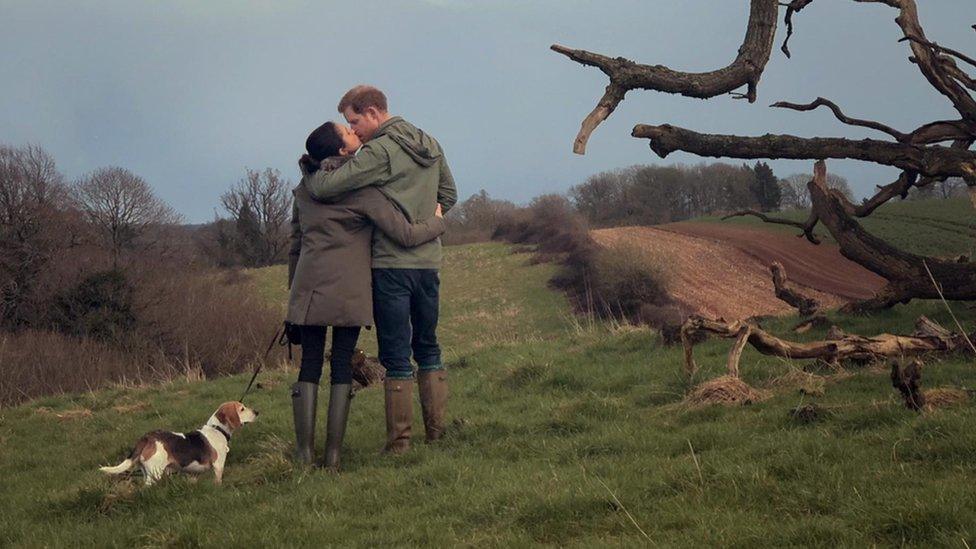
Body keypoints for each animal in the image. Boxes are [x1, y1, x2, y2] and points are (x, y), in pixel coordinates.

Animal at [99, 400, 258, 486]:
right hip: (155, 472)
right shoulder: (218, 466)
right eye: (242, 409)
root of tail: (147, 437)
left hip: (146, 471)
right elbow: (218, 481)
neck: (217, 429)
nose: (257, 412)